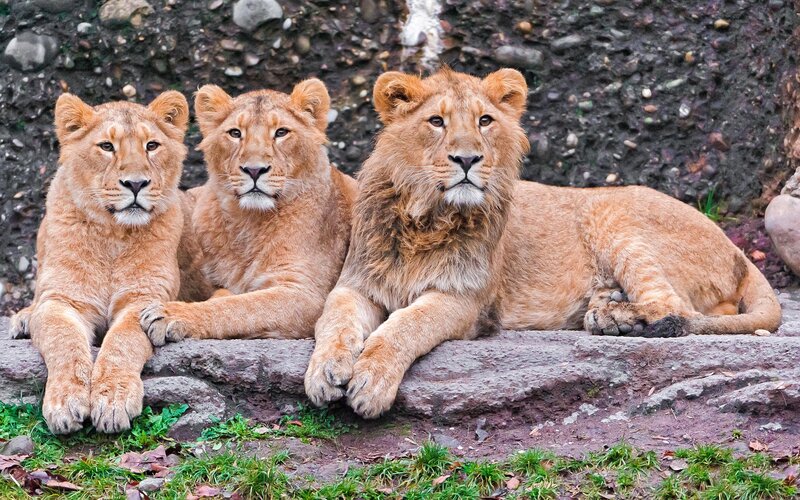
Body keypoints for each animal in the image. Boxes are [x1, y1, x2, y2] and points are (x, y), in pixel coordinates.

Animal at [8, 91, 190, 433]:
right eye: (107, 146)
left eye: (152, 145)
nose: (136, 183)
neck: (113, 235)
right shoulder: (63, 299)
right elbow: (64, 342)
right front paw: (65, 402)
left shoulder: (144, 298)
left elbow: (123, 342)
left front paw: (113, 399)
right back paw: (23, 318)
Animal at [138, 79, 357, 344]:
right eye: (235, 133)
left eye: (281, 132)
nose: (254, 170)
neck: (249, 221)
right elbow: (231, 299)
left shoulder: (308, 296)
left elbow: (241, 306)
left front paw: (170, 314)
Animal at [304, 68, 782, 419]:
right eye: (436, 122)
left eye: (485, 121)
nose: (467, 159)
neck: (426, 217)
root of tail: (736, 248)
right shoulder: (355, 284)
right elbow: (333, 321)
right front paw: (325, 372)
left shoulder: (464, 300)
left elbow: (404, 327)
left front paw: (370, 382)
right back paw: (607, 310)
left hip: (611, 211)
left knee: (678, 308)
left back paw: (619, 319)